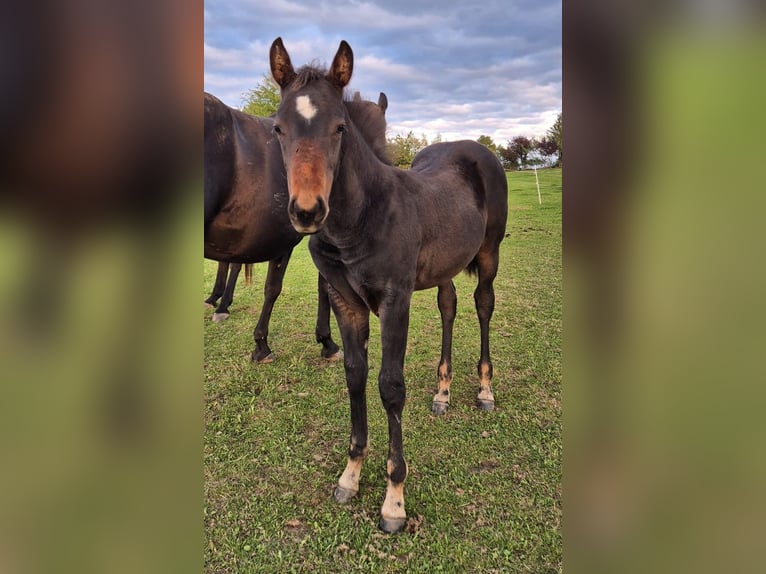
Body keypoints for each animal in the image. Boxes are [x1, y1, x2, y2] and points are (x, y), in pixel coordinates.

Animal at [268, 38, 508, 532]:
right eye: (278, 128)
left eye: (340, 127)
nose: (307, 211)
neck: (361, 219)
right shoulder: (345, 303)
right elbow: (355, 375)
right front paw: (350, 475)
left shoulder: (395, 302)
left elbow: (390, 386)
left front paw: (393, 500)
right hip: (445, 266)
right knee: (449, 305)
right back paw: (442, 393)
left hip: (489, 254)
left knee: (482, 304)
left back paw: (484, 390)